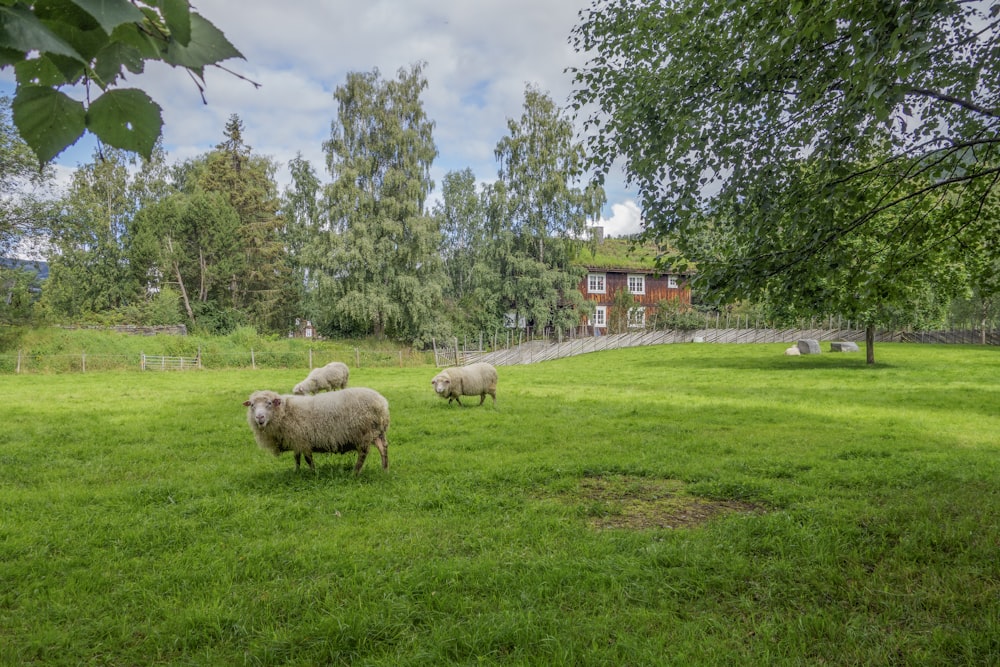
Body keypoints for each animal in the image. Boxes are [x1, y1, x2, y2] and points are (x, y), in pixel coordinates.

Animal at [244, 386, 392, 474]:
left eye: (269, 403)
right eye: (252, 405)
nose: (259, 417)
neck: (285, 412)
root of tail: (382, 403)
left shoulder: (302, 440)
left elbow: (308, 459)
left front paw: (313, 473)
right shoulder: (296, 440)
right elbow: (296, 458)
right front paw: (297, 472)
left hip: (363, 433)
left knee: (363, 453)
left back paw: (355, 472)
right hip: (377, 431)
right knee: (383, 448)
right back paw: (384, 469)